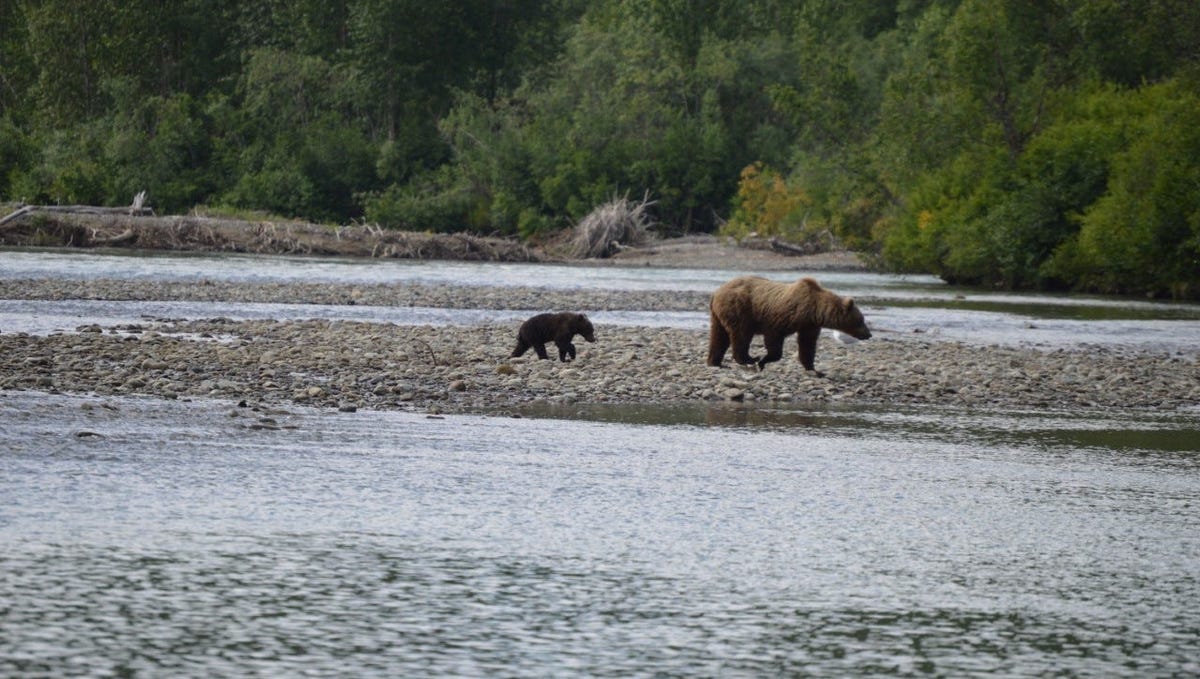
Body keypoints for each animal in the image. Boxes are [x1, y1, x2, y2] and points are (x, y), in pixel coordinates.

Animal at [700, 277, 873, 379]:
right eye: (861, 320)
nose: (869, 334)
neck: (814, 310)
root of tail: (716, 293)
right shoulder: (783, 317)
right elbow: (774, 340)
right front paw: (763, 360)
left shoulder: (809, 325)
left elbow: (807, 345)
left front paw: (816, 370)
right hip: (740, 308)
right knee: (741, 334)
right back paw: (749, 358)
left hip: (718, 314)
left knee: (719, 336)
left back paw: (716, 363)